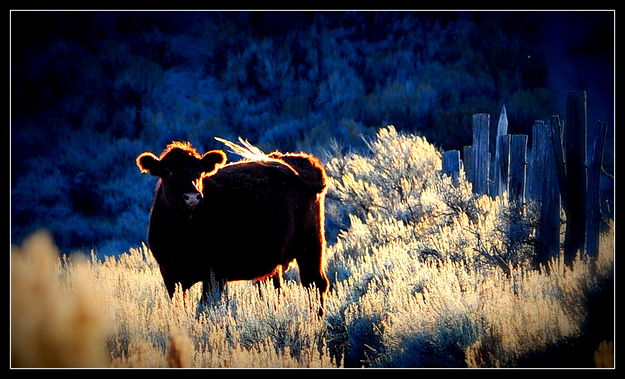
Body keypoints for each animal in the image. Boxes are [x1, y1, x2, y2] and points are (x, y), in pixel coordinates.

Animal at [136, 140, 330, 314]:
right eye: (168, 172)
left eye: (199, 171)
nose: (192, 197)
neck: (182, 233)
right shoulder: (170, 275)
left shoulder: (214, 275)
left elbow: (205, 308)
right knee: (275, 291)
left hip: (311, 245)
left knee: (315, 283)